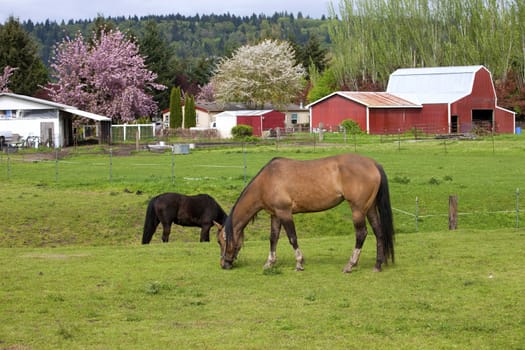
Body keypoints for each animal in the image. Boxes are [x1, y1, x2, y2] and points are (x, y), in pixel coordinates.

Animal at [216, 154, 392, 274]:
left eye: (220, 242)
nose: (224, 264)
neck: (267, 180)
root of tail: (373, 164)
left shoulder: (285, 213)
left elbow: (292, 238)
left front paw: (299, 263)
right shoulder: (275, 215)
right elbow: (273, 239)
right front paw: (270, 263)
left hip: (358, 210)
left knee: (361, 234)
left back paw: (350, 265)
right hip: (370, 208)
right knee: (379, 232)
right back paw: (377, 265)